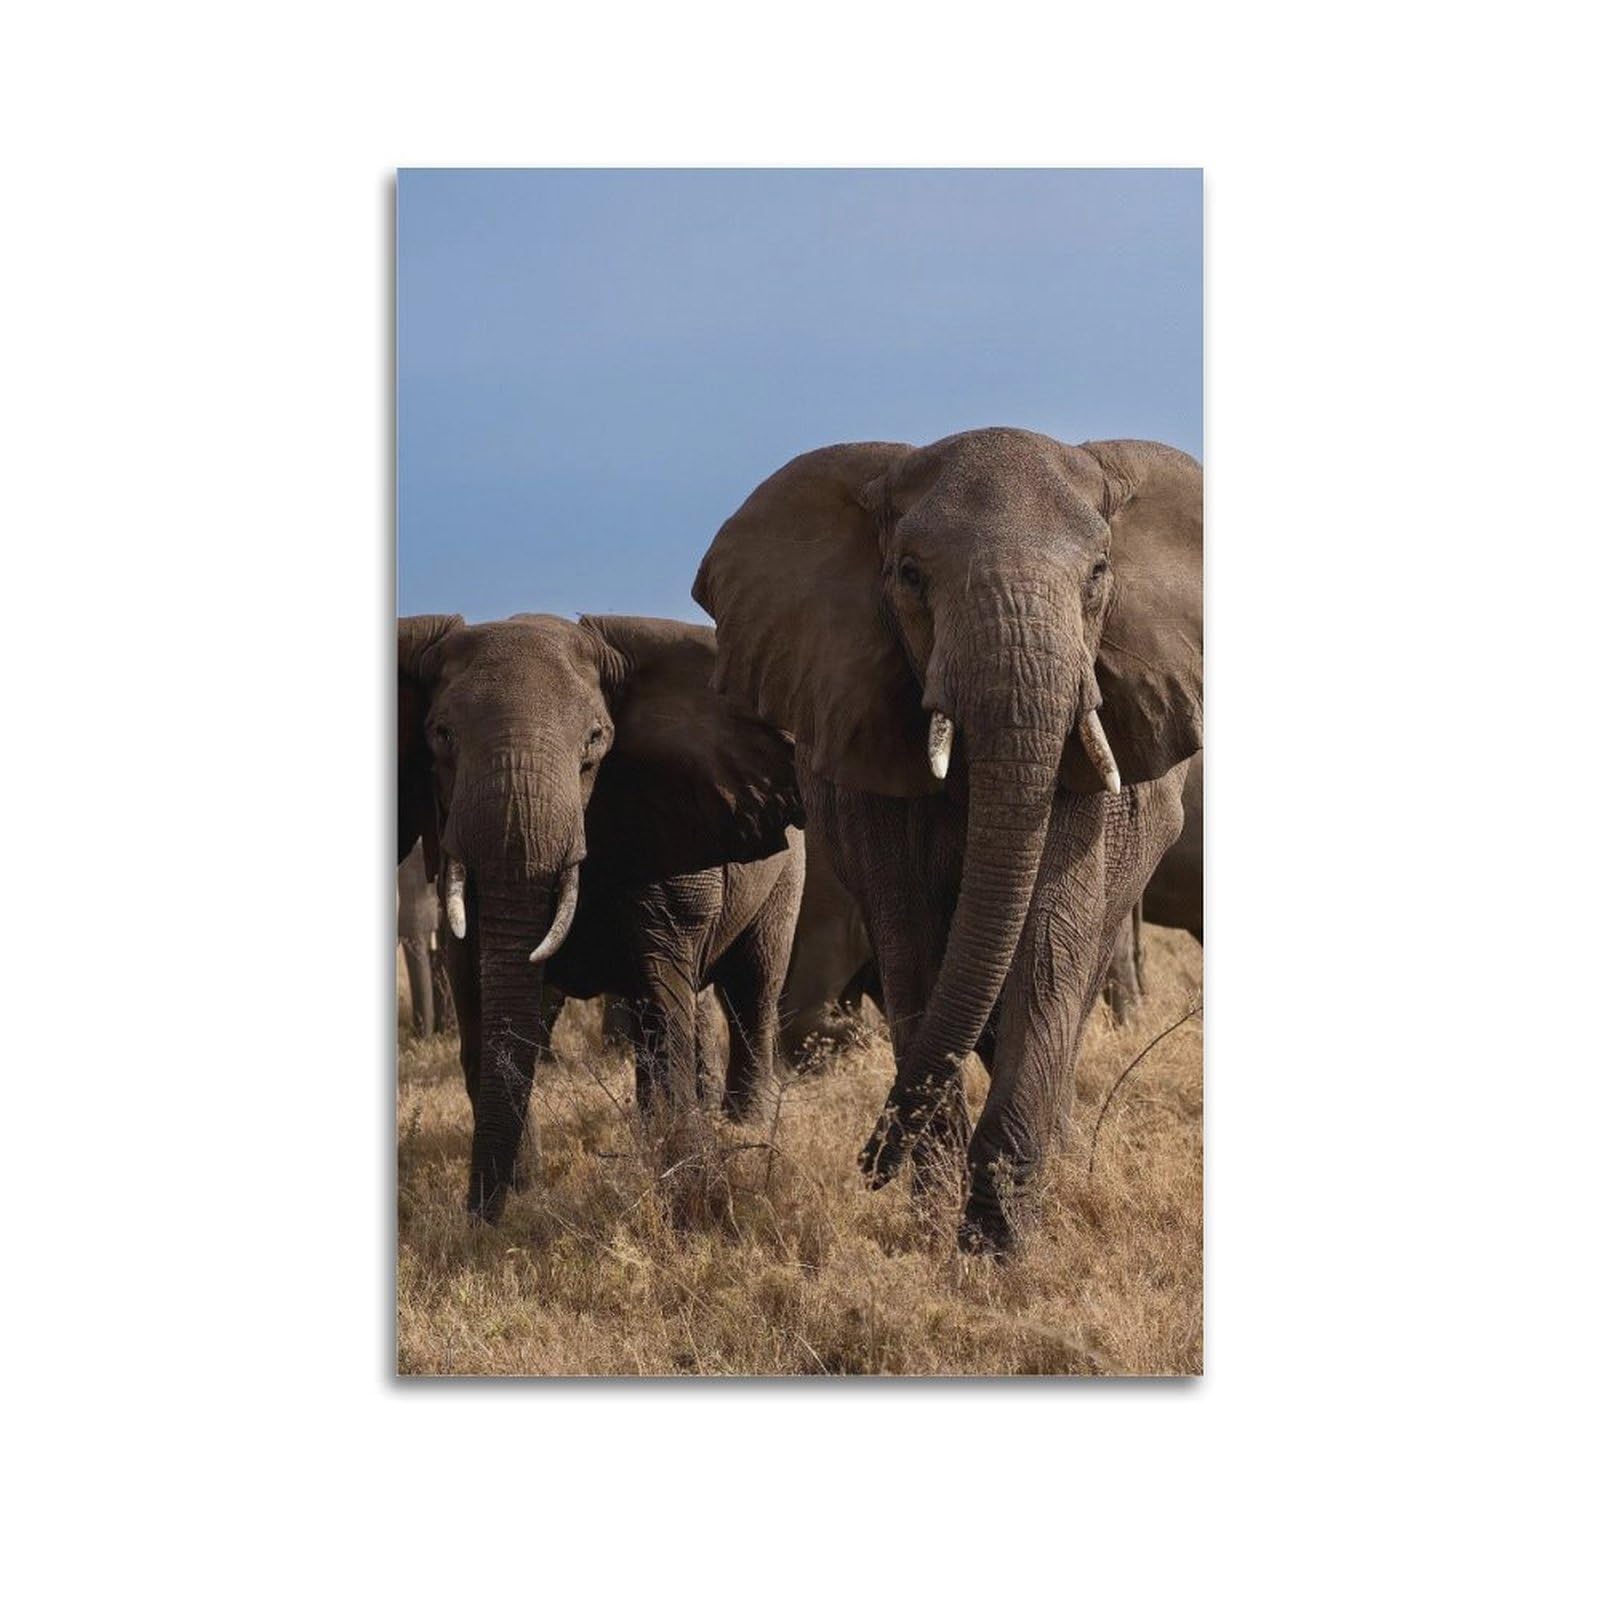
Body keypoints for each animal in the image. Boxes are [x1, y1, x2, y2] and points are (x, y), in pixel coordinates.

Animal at [399, 611, 805, 1222]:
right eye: (440, 734)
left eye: (595, 740)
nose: (480, 1217)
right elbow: (482, 992)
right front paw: (519, 1193)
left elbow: (662, 996)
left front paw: (682, 1183)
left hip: (789, 876)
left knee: (752, 986)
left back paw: (741, 1128)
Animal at [695, 428, 1202, 1254]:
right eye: (910, 575)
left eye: (1099, 575)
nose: (868, 1162)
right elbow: (917, 954)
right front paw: (937, 1227)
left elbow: (1047, 946)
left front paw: (997, 1244)